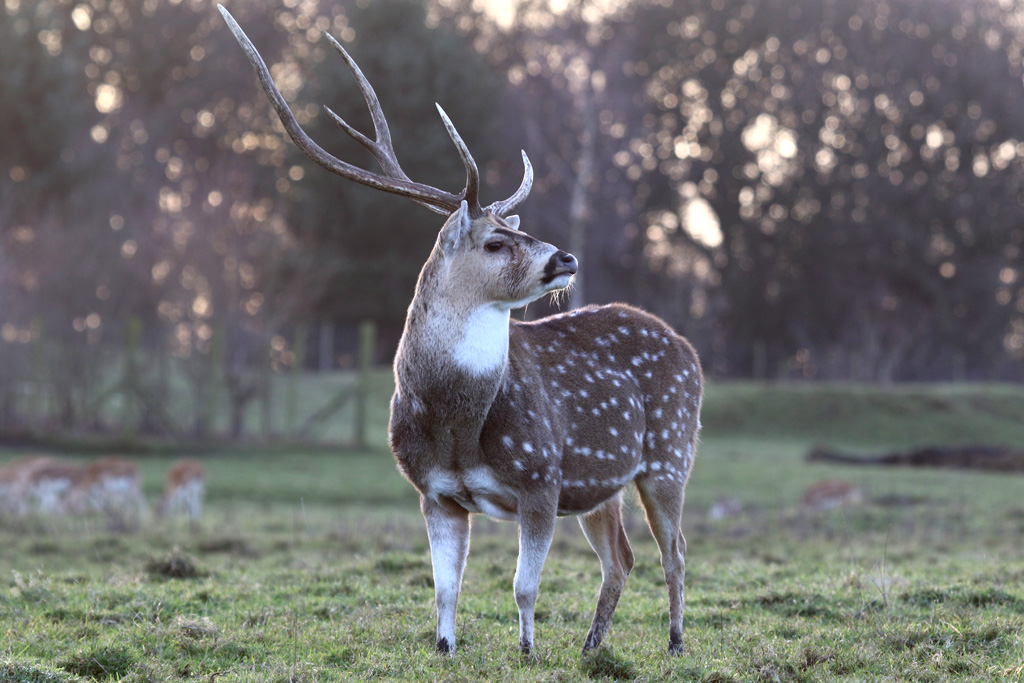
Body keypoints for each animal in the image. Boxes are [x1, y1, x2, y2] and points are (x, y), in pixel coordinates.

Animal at [220, 6, 703, 657]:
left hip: (671, 452)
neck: (458, 428)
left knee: (674, 551)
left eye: (517, 230)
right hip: (606, 483)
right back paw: (591, 647)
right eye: (496, 241)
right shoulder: (435, 491)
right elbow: (444, 587)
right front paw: (446, 646)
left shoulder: (541, 476)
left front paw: (526, 650)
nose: (567, 258)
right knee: (622, 559)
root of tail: (686, 346)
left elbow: (525, 586)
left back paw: (673, 643)